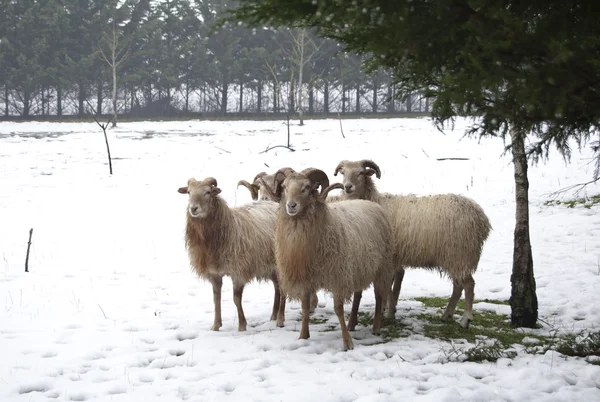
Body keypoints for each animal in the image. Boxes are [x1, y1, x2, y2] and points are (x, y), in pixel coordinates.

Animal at [177, 177, 284, 332]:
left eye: (208, 192)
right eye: (189, 192)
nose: (193, 208)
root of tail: (274, 204)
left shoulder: (238, 271)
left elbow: (236, 299)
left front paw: (242, 326)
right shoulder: (214, 274)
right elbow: (216, 299)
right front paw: (216, 325)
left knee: (283, 289)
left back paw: (280, 319)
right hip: (270, 266)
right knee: (277, 288)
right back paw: (274, 315)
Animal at [264, 168, 396, 350]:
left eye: (307, 187)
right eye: (284, 187)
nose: (291, 205)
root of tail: (371, 204)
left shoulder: (337, 276)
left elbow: (338, 309)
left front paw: (347, 343)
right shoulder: (306, 279)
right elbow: (305, 308)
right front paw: (303, 336)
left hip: (381, 267)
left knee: (378, 296)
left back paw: (376, 327)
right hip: (358, 268)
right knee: (358, 296)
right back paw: (352, 323)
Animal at [330, 159, 490, 328]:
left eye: (361, 172)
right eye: (343, 173)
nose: (348, 187)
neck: (374, 202)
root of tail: (481, 219)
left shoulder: (389, 258)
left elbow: (387, 287)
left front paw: (385, 312)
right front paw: (388, 310)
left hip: (460, 254)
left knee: (469, 285)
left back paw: (465, 319)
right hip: (454, 257)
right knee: (458, 286)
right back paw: (446, 315)